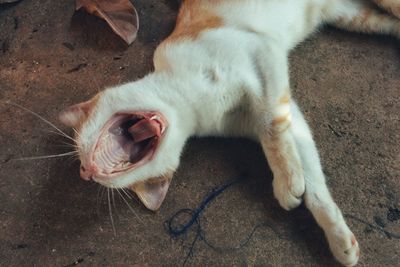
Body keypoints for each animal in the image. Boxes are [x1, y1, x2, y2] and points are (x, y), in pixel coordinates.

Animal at [57, 1, 400, 266]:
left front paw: (288, 183)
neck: (193, 105)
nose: (87, 172)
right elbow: (309, 169)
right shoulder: (287, 116)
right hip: (354, 17)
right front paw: (338, 237)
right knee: (386, 22)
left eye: (80, 154)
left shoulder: (263, 53)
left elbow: (272, 124)